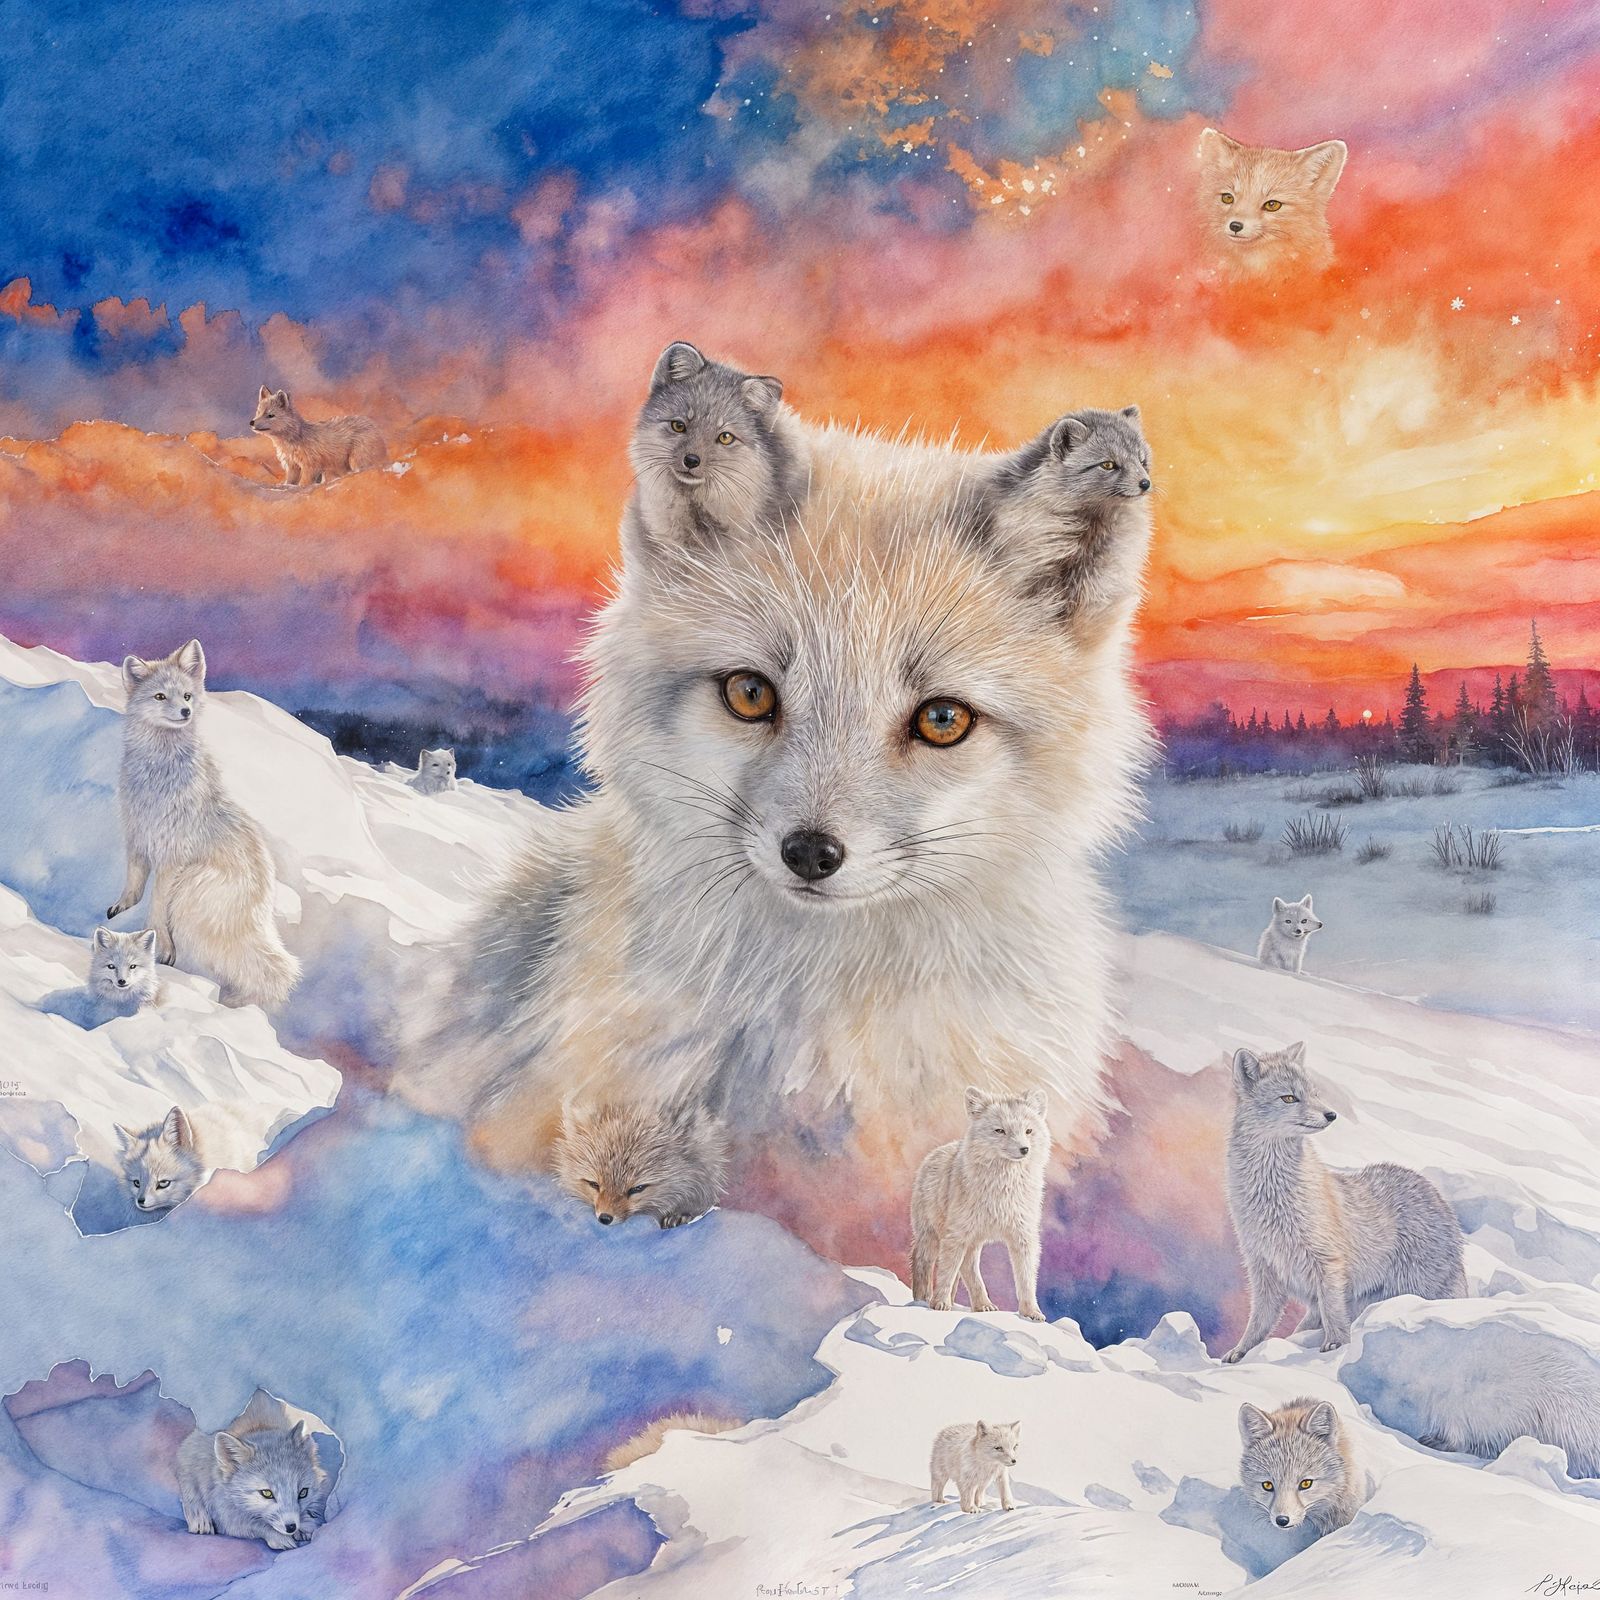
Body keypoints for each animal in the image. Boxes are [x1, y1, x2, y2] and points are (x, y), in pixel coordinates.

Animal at [109, 640, 300, 1010]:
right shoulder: (137, 835)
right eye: (160, 696)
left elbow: (156, 905)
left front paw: (157, 946)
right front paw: (120, 910)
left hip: (192, 884)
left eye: (186, 695)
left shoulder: (172, 855)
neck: (157, 774)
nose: (186, 712)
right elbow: (134, 884)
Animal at [176, 1390, 329, 1551]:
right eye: (267, 1493)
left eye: (303, 1493)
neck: (258, 1426)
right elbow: (255, 1525)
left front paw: (306, 1524)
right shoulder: (225, 1514)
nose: (291, 1527)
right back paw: (199, 1519)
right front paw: (280, 1538)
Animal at [251, 385, 387, 487]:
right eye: (258, 412)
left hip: (355, 460)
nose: (251, 422)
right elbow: (290, 482)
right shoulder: (293, 466)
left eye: (270, 415)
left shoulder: (310, 466)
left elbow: (303, 483)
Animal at [910, 1087, 1050, 1320]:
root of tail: (934, 1152)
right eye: (1000, 1130)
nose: (1024, 1149)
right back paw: (923, 1299)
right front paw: (939, 1304)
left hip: (973, 1242)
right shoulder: (957, 1234)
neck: (1002, 1190)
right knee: (923, 1264)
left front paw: (1032, 1313)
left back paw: (983, 1305)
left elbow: (1026, 1279)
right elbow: (947, 1272)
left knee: (967, 1271)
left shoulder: (1023, 1236)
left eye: (1028, 1130)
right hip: (932, 1236)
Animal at [1223, 1042, 1467, 1363]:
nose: (1331, 1115)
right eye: (1289, 1097)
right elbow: (1259, 1321)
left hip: (1414, 1287)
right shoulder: (1263, 1267)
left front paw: (1336, 1344)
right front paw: (1241, 1351)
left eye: (1314, 1093)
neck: (1274, 1199)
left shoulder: (1327, 1264)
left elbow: (1332, 1311)